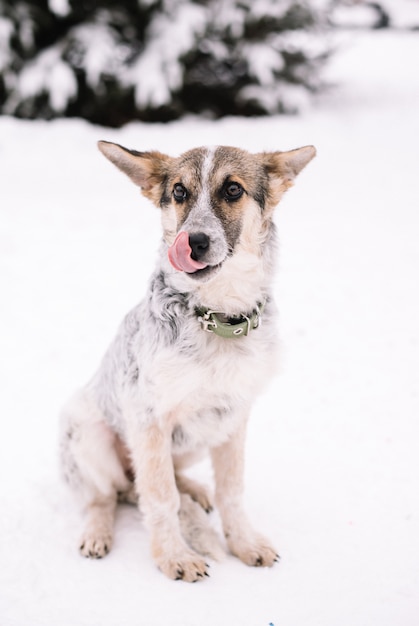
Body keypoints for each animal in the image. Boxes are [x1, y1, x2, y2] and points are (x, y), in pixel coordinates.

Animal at [59, 140, 316, 580]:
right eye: (179, 192)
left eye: (233, 189)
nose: (192, 242)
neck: (216, 319)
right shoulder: (148, 418)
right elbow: (162, 499)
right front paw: (173, 557)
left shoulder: (233, 417)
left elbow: (231, 490)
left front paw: (244, 542)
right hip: (88, 432)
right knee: (106, 496)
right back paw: (98, 532)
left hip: (200, 435)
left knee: (168, 479)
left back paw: (196, 491)